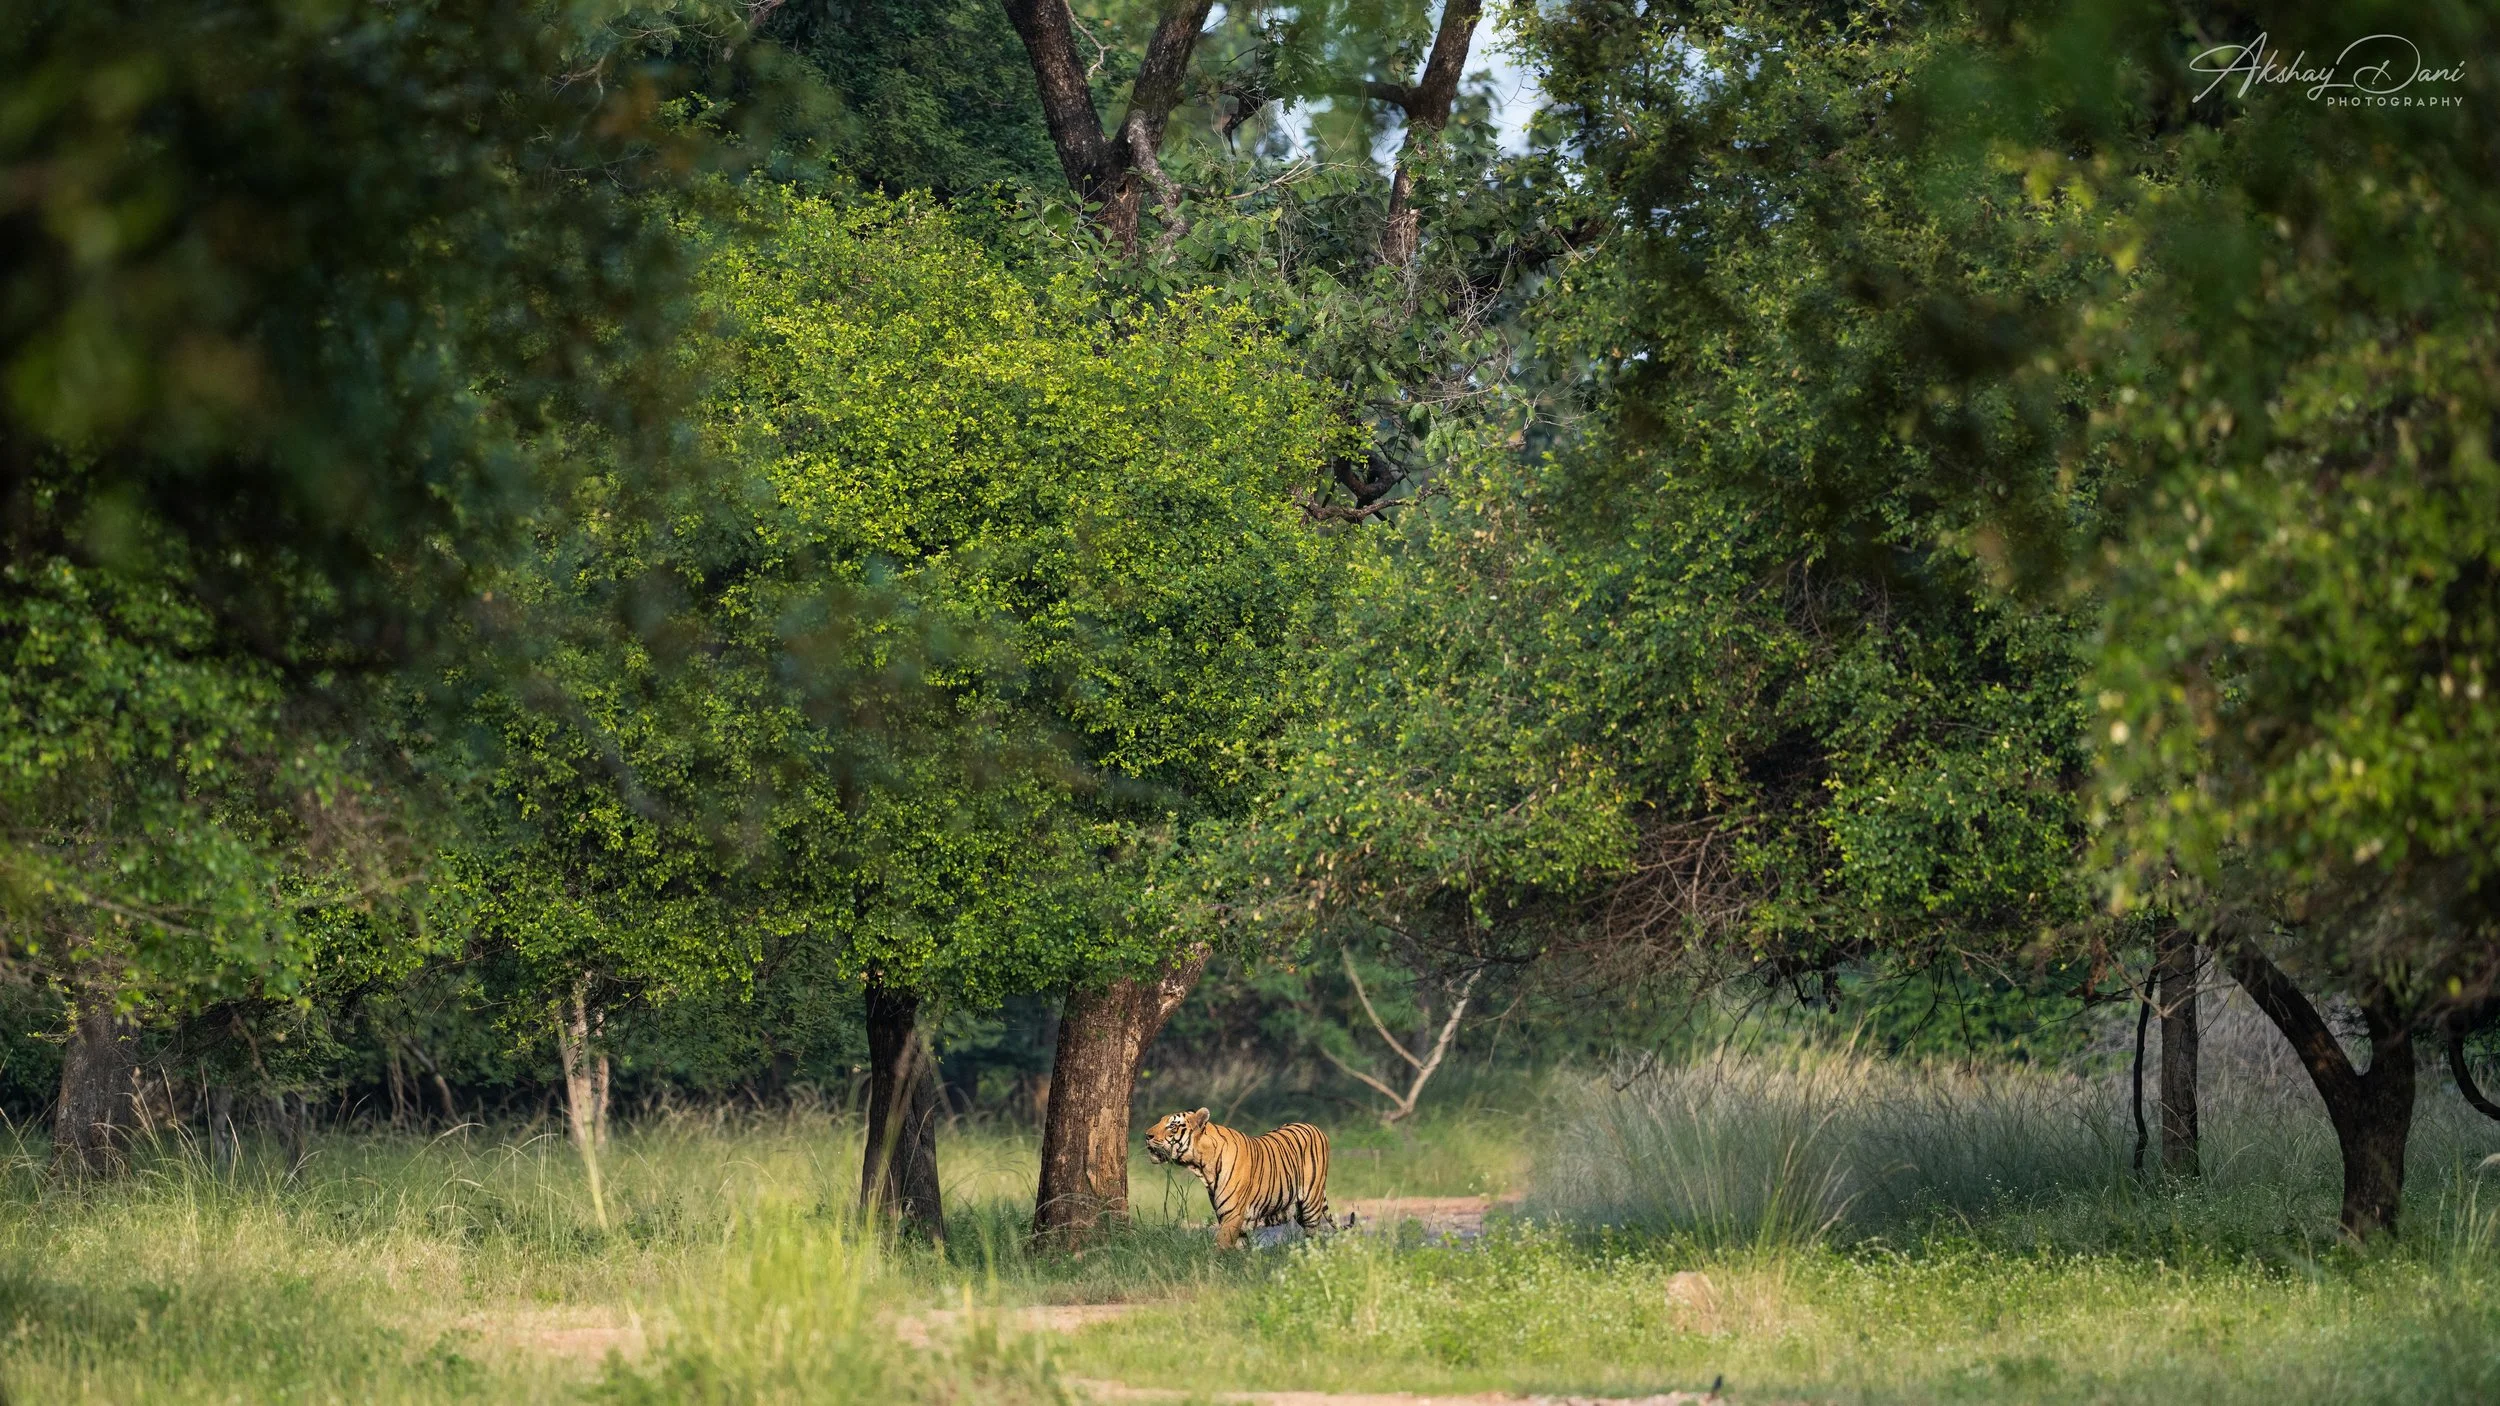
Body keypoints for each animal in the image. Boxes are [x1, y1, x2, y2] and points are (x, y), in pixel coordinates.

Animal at [1144, 1107, 1332, 1250]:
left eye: (1172, 1125)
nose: (1147, 1135)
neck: (1201, 1167)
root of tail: (1315, 1127)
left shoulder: (1232, 1216)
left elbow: (1220, 1247)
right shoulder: (1230, 1219)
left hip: (1311, 1204)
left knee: (1314, 1235)